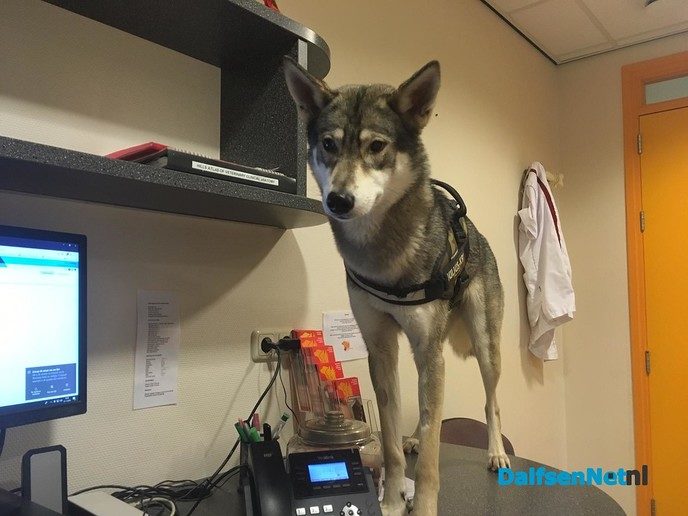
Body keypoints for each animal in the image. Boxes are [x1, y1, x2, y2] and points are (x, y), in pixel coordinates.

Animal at [284, 57, 510, 516]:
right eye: (329, 144)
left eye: (376, 146)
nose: (338, 201)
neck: (383, 253)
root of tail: (477, 234)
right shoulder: (382, 348)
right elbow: (388, 443)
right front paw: (389, 501)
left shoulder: (426, 348)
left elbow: (432, 460)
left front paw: (421, 506)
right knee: (426, 419)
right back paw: (416, 438)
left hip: (483, 348)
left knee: (490, 402)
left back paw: (496, 451)